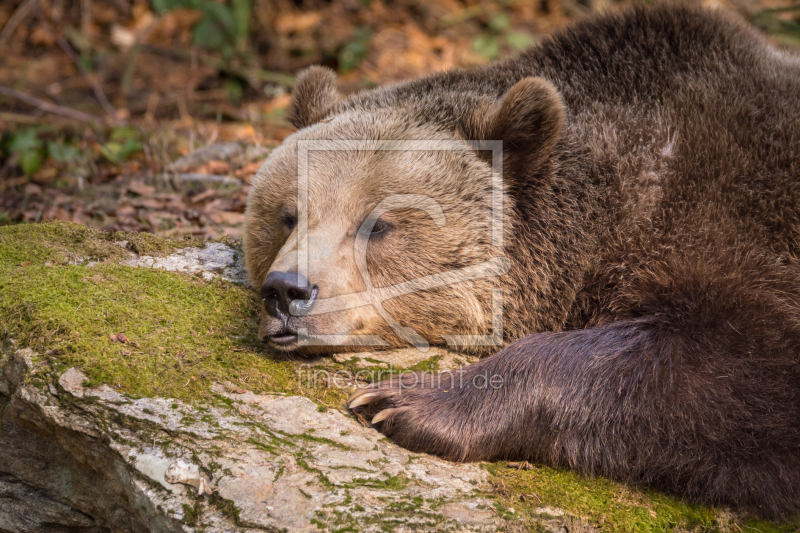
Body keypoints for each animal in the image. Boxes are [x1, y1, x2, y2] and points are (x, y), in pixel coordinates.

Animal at [245, 3, 800, 520]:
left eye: (378, 225)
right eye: (288, 216)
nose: (287, 291)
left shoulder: (733, 223)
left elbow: (741, 368)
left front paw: (405, 402)